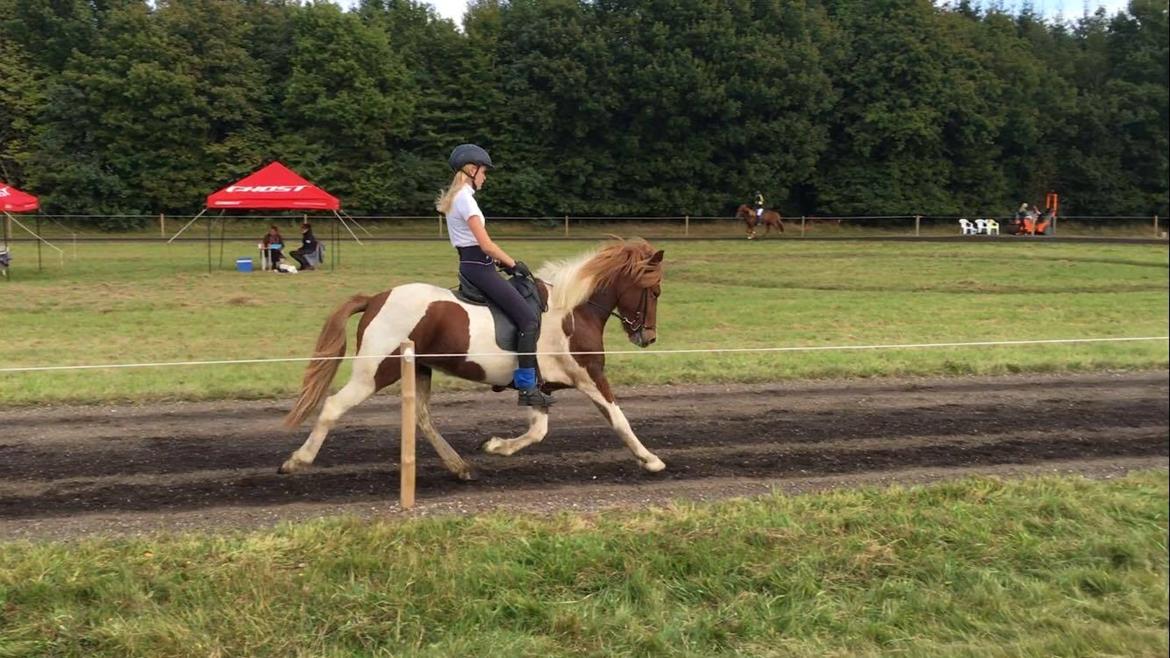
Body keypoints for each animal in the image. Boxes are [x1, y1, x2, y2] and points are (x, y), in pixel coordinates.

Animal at [278, 237, 669, 480]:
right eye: (655, 291)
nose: (647, 337)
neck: (573, 310)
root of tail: (376, 298)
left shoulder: (539, 386)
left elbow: (538, 430)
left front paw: (496, 446)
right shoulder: (590, 375)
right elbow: (619, 419)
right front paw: (651, 460)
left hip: (418, 368)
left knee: (422, 418)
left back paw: (460, 467)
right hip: (375, 372)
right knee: (333, 406)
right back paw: (296, 461)